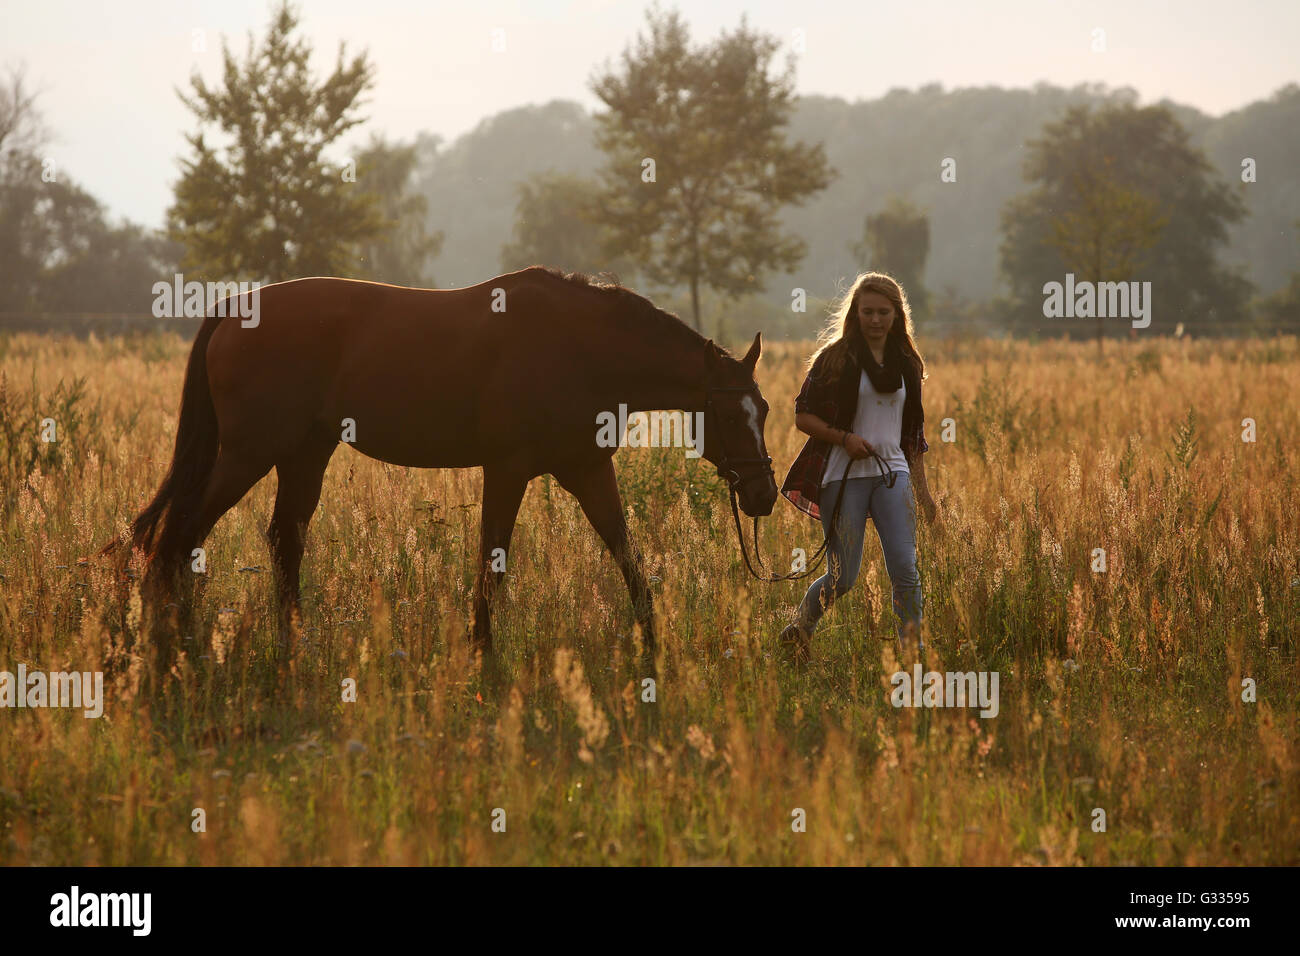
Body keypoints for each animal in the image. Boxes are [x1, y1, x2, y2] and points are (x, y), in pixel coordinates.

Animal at [106, 267, 774, 658]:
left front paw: (653, 643)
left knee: (280, 542)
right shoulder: (507, 469)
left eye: (764, 409)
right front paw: (482, 652)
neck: (580, 347)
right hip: (250, 453)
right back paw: (173, 646)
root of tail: (235, 306)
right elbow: (492, 562)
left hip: (304, 454)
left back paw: (292, 643)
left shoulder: (587, 470)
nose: (764, 494)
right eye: (729, 414)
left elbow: (626, 554)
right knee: (179, 536)